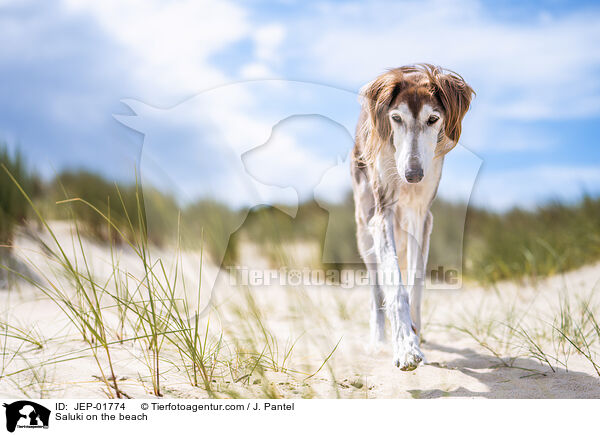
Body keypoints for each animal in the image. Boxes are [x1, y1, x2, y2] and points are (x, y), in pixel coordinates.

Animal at [352, 64, 474, 372]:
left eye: (433, 119)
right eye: (396, 118)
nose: (413, 176)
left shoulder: (420, 215)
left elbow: (415, 282)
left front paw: (414, 336)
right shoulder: (383, 212)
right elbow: (394, 285)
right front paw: (405, 347)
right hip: (364, 228)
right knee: (376, 289)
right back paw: (378, 340)